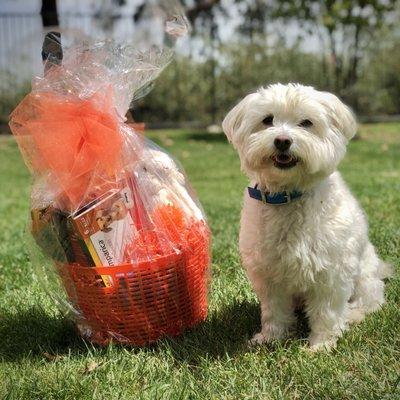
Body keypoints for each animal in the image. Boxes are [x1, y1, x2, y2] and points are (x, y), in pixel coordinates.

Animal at [223, 83, 392, 348]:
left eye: (306, 123)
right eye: (267, 120)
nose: (282, 140)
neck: (288, 194)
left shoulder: (330, 272)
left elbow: (326, 312)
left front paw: (321, 345)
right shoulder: (270, 274)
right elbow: (274, 310)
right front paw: (271, 337)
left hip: (364, 278)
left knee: (369, 301)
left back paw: (352, 315)